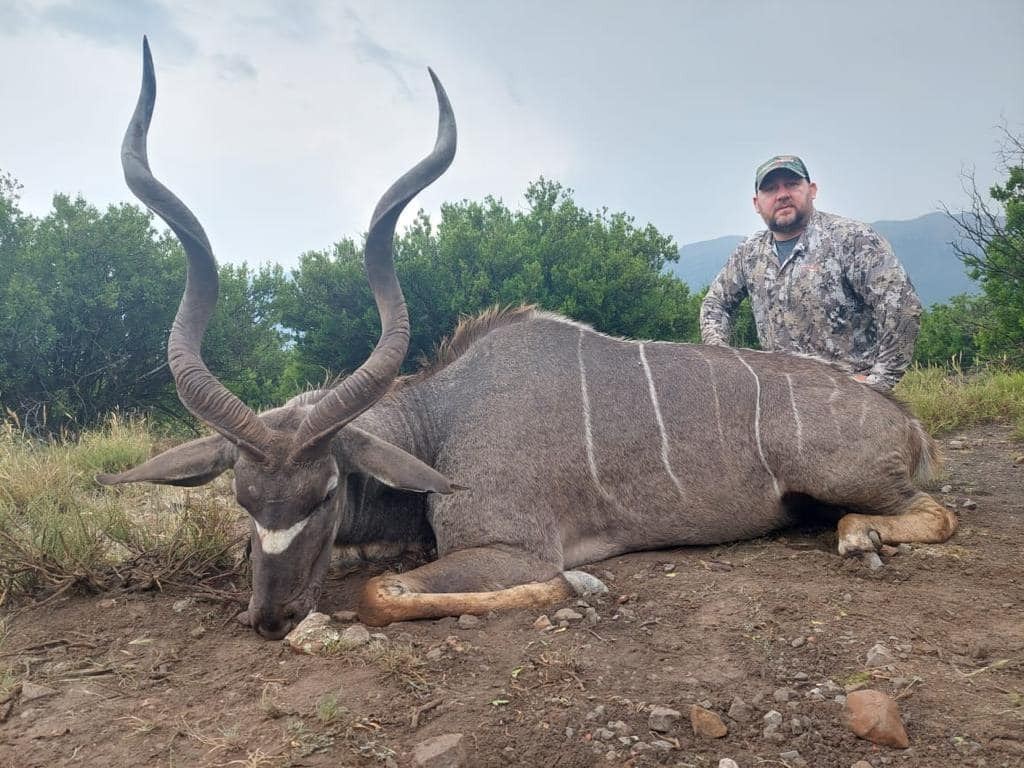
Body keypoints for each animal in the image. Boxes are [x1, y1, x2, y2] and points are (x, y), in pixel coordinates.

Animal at [100, 40, 957, 639]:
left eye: (327, 491)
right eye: (243, 499)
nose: (271, 619)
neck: (440, 423)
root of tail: (903, 418)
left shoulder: (508, 546)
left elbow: (384, 593)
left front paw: (580, 585)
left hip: (844, 479)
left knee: (930, 514)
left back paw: (858, 537)